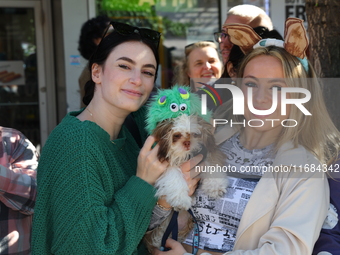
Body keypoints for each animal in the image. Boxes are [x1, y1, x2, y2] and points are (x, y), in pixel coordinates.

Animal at [142, 113, 227, 251]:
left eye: (195, 134)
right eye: (176, 135)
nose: (187, 142)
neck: (184, 156)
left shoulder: (203, 154)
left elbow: (211, 162)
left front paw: (215, 186)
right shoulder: (165, 165)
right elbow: (174, 176)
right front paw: (180, 200)